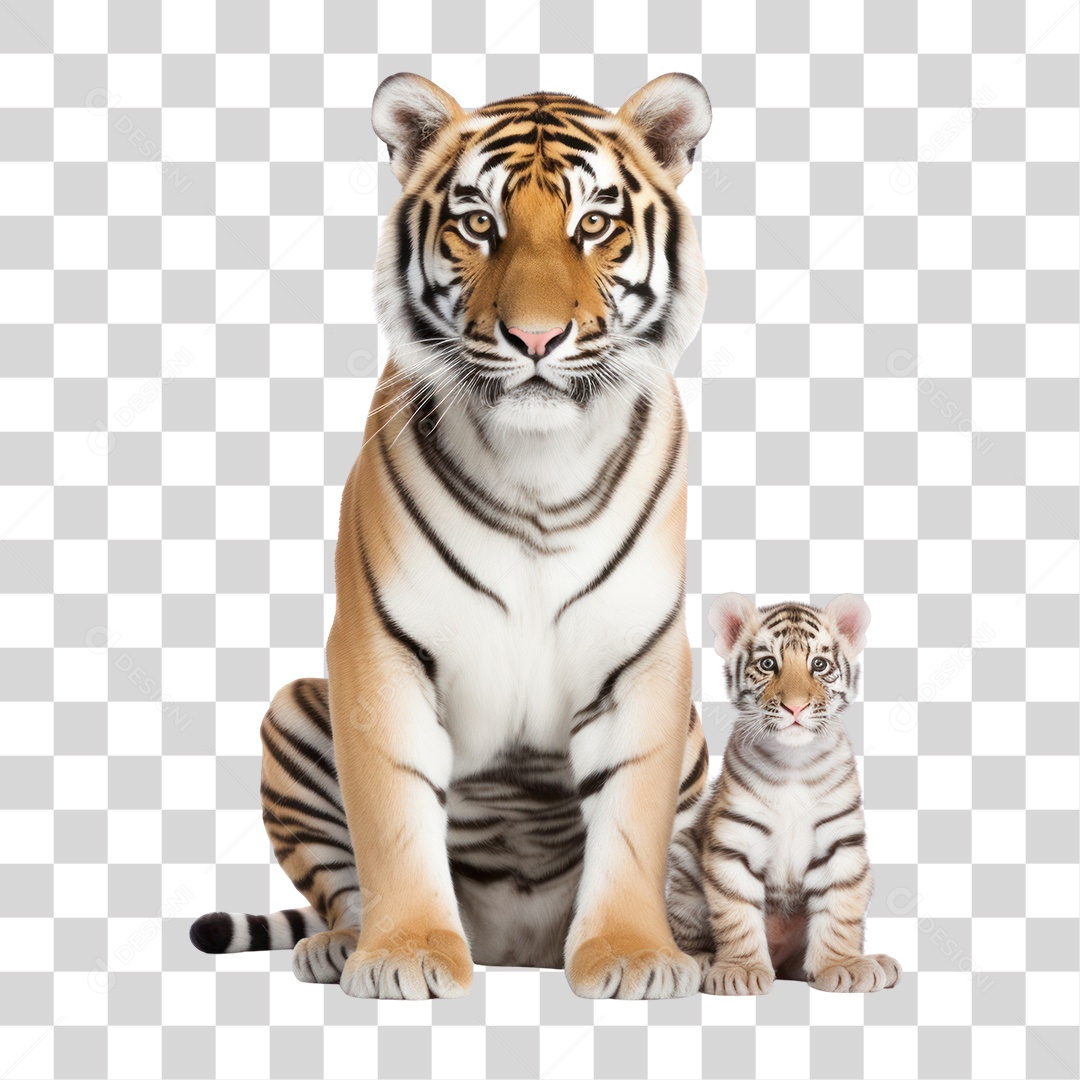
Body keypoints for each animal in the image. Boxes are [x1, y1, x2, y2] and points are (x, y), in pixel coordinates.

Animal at [189, 71, 714, 999]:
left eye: (594, 225)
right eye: (478, 224)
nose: (535, 337)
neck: (540, 468)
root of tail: (516, 945)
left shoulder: (645, 662)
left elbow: (631, 823)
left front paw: (633, 956)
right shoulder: (378, 650)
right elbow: (395, 815)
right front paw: (404, 955)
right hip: (294, 710)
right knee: (339, 885)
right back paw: (339, 946)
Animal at [666, 594, 901, 994]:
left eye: (819, 664)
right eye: (767, 664)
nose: (795, 707)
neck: (794, 763)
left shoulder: (842, 843)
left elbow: (839, 912)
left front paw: (842, 966)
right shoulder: (734, 841)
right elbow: (736, 913)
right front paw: (741, 971)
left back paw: (874, 962)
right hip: (683, 863)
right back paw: (705, 960)